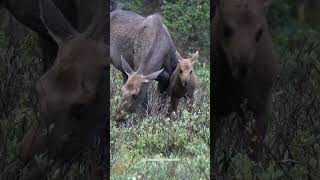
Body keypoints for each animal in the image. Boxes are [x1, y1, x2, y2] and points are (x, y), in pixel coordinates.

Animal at [212, 0, 278, 163]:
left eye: (260, 32)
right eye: (226, 29)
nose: (242, 67)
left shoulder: (260, 108)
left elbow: (254, 155)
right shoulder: (216, 109)